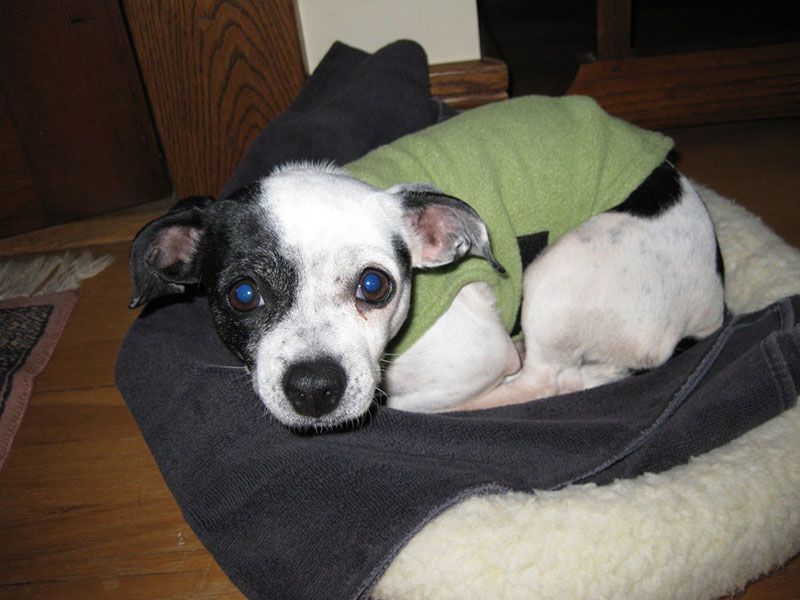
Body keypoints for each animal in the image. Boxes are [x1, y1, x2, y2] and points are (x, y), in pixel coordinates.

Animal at [130, 157, 724, 428]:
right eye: (244, 295)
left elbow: (403, 402)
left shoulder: (475, 358)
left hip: (559, 276)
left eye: (374, 285)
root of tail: (712, 306)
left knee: (542, 380)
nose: (315, 387)